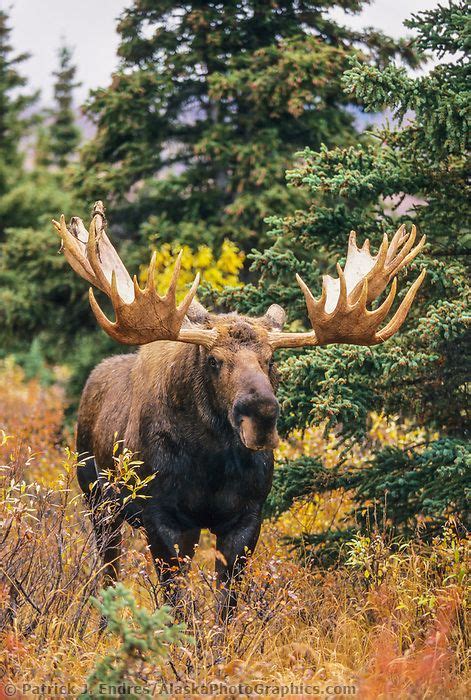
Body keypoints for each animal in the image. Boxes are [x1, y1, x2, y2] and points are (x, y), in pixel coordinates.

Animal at [52, 202, 428, 616]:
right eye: (215, 360)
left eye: (271, 360)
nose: (261, 414)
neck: (210, 464)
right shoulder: (160, 515)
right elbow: (177, 604)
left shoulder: (246, 516)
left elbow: (228, 604)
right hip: (98, 502)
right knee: (108, 571)